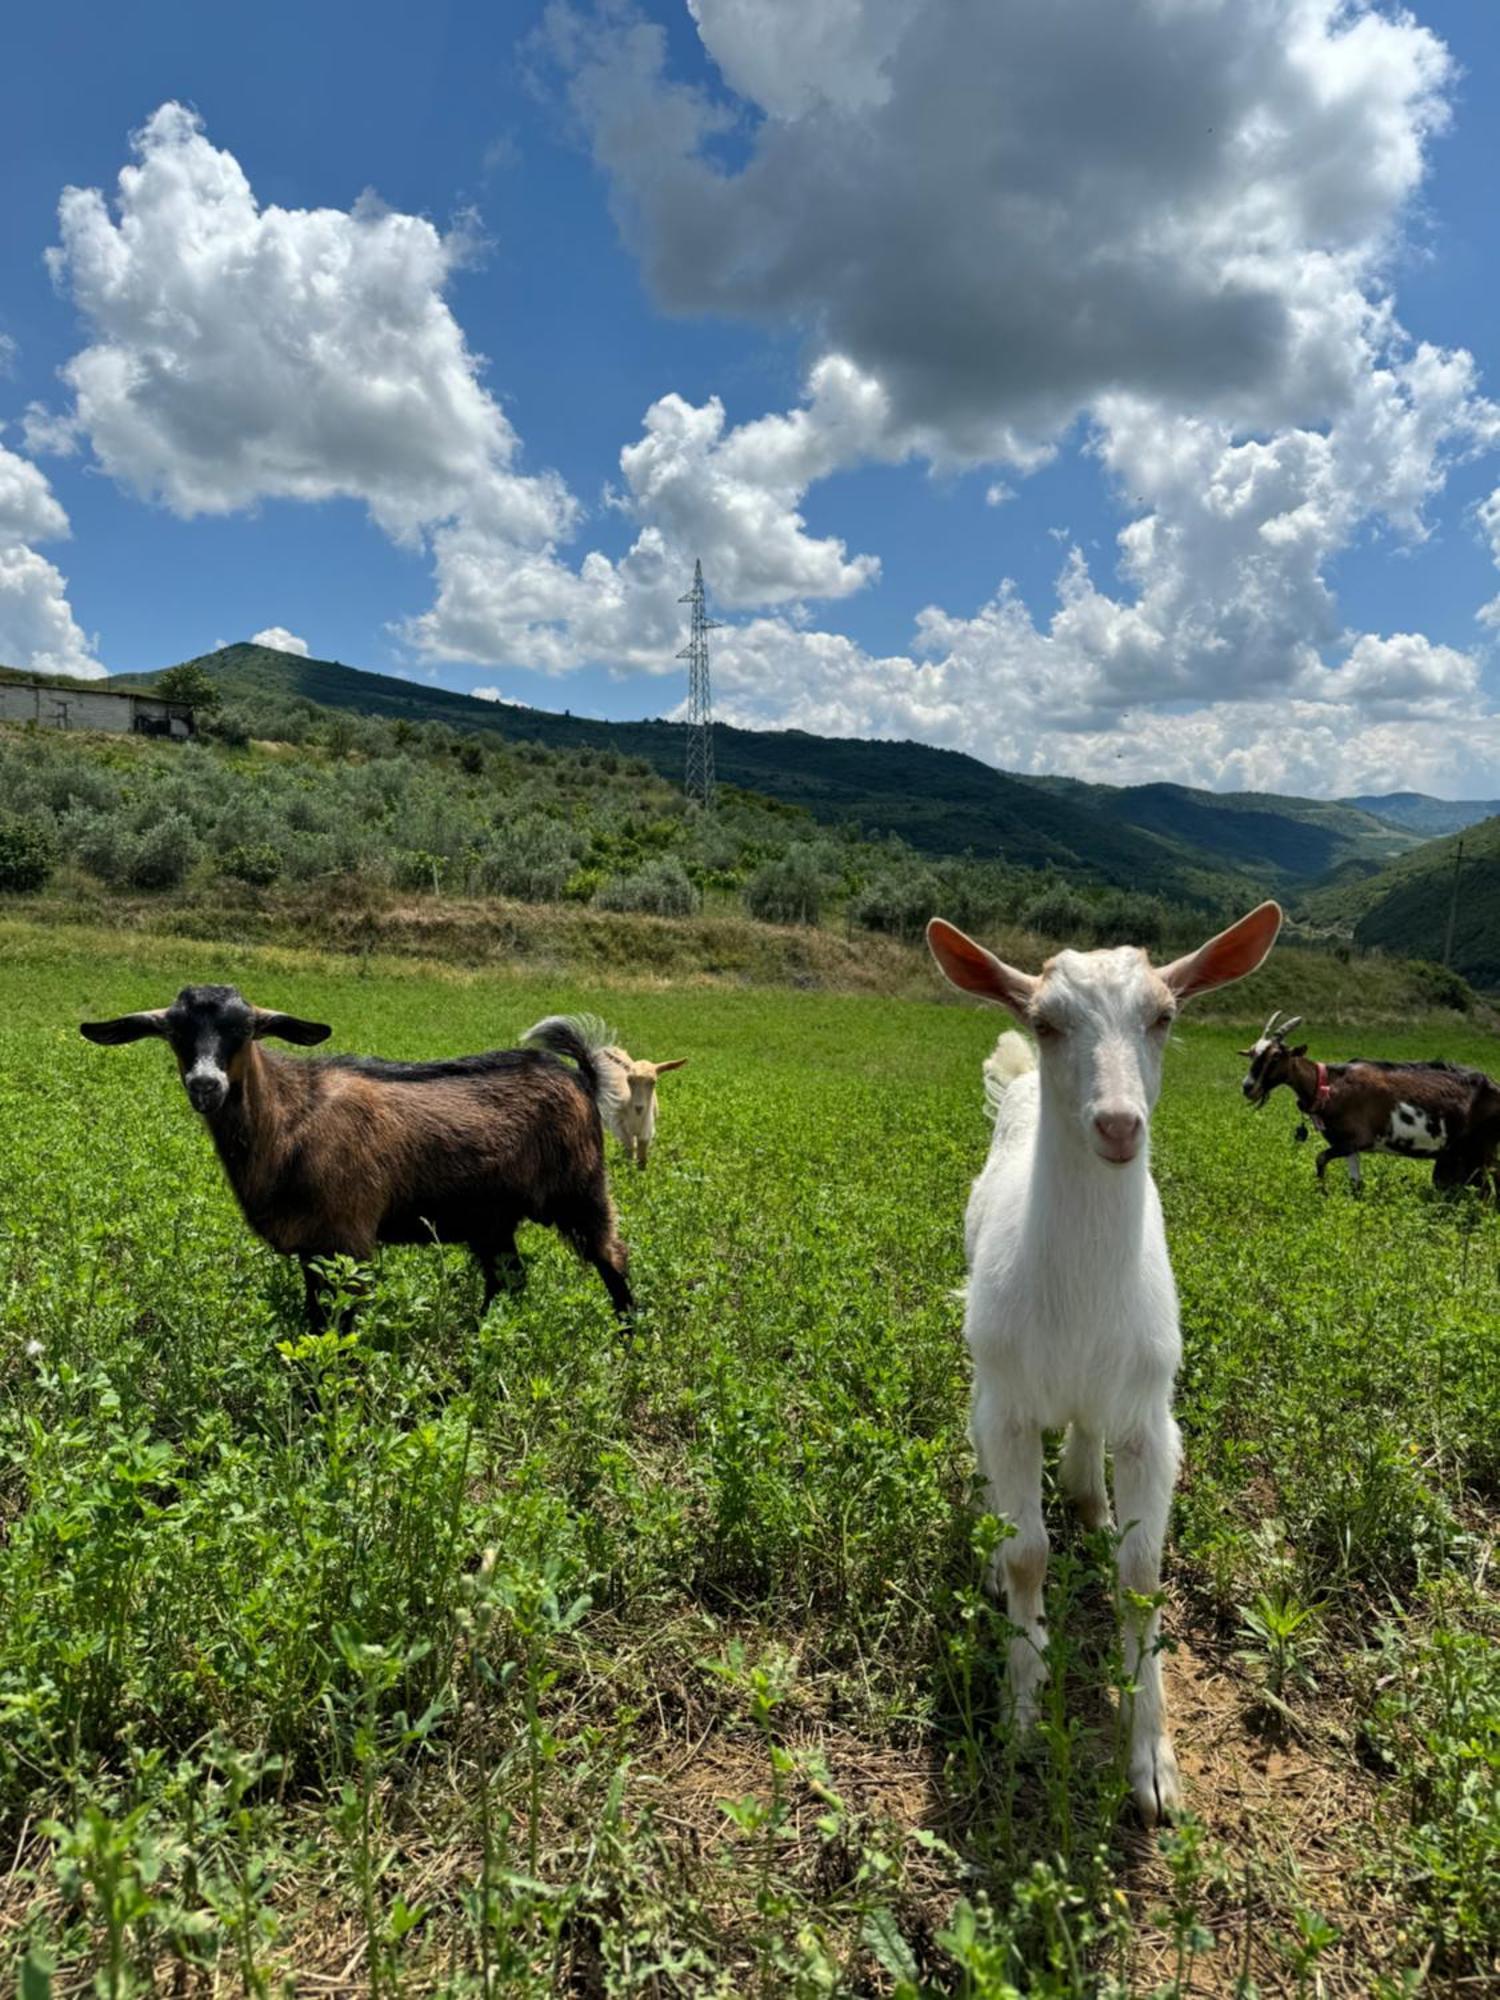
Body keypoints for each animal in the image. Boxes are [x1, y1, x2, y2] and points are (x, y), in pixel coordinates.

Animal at [82, 984, 636, 1328]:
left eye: (244, 1030)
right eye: (175, 1032)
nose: (205, 1084)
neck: (290, 1120)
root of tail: (580, 1077)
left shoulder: (350, 1238)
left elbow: (340, 1327)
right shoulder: (310, 1245)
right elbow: (312, 1319)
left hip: (581, 1188)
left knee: (611, 1256)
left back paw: (627, 1339)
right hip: (491, 1218)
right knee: (509, 1280)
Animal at [524, 1008, 692, 1168]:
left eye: (653, 1082)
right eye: (629, 1080)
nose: (639, 1107)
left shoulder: (648, 1127)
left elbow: (641, 1153)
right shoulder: (619, 1125)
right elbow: (630, 1148)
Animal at [936, 908, 1288, 1832]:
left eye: (1164, 1015)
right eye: (1047, 1021)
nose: (1119, 1125)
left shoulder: (1151, 1418)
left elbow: (1142, 1574)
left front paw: (1154, 1769)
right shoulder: (1009, 1403)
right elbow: (1029, 1553)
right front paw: (1022, 1713)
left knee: (1086, 1434)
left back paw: (1089, 1500)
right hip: (987, 1373)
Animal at [1240, 1016, 1496, 1184]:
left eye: (1275, 1056)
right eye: (1252, 1053)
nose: (1248, 1087)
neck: (1329, 1084)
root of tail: (1494, 1086)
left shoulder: (1358, 1139)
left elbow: (1320, 1158)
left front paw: (1321, 1191)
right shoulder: (1348, 1144)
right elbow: (1356, 1184)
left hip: (1484, 1147)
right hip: (1462, 1153)